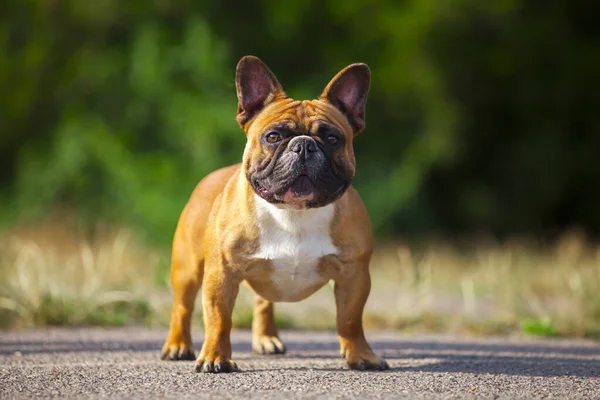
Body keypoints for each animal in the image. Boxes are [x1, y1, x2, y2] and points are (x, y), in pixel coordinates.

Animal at [161, 55, 390, 372]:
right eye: (273, 136)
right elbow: (219, 319)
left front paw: (361, 355)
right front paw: (216, 357)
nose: (304, 145)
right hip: (188, 268)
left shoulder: (354, 275)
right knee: (182, 306)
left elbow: (350, 319)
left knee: (263, 302)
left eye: (333, 138)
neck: (293, 213)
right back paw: (177, 345)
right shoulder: (221, 274)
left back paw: (266, 339)